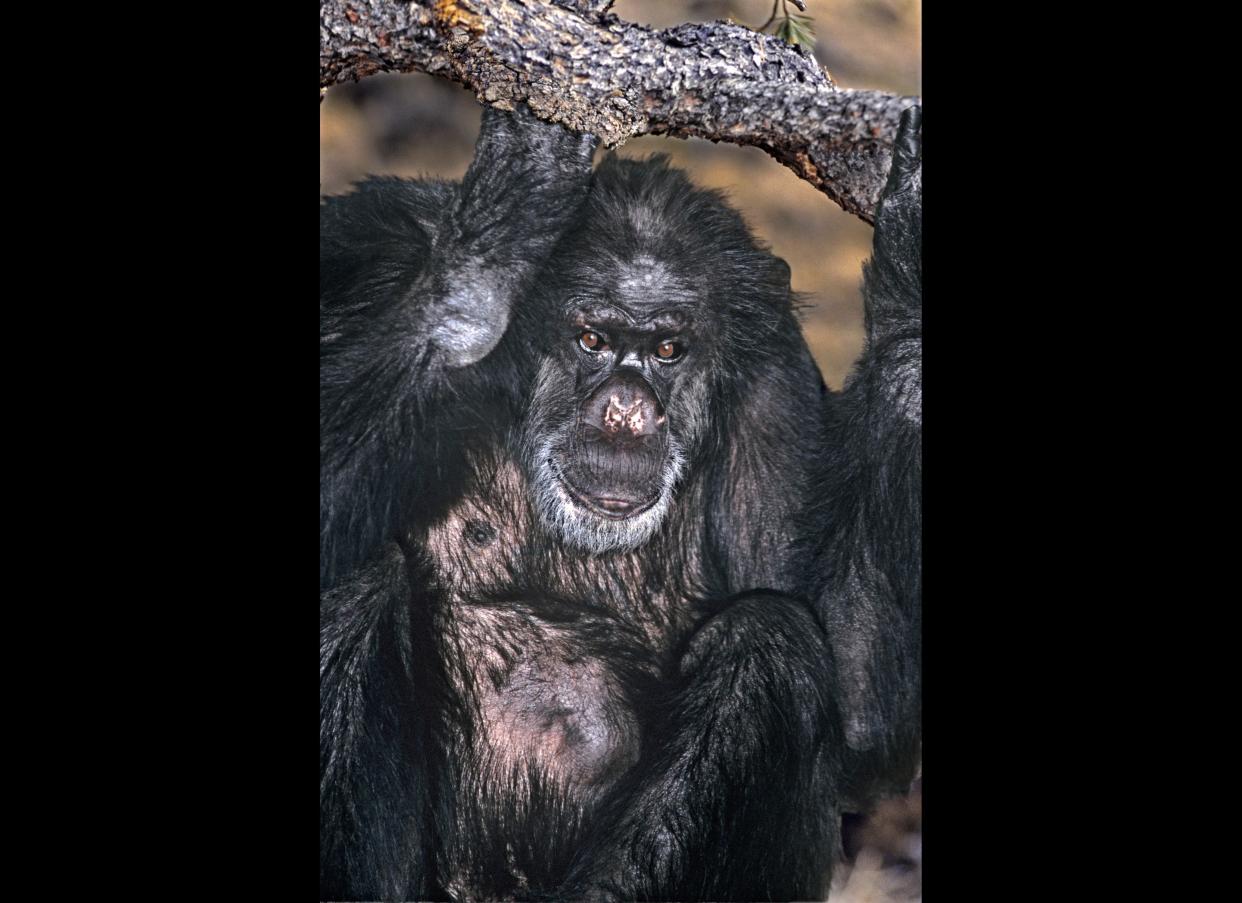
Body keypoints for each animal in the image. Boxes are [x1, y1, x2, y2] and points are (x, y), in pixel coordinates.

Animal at [320, 102, 924, 899]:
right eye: (591, 338)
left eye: (668, 349)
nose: (628, 413)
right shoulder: (363, 248)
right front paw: (497, 241)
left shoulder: (778, 390)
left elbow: (861, 713)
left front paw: (915, 257)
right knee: (356, 578)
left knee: (772, 638)